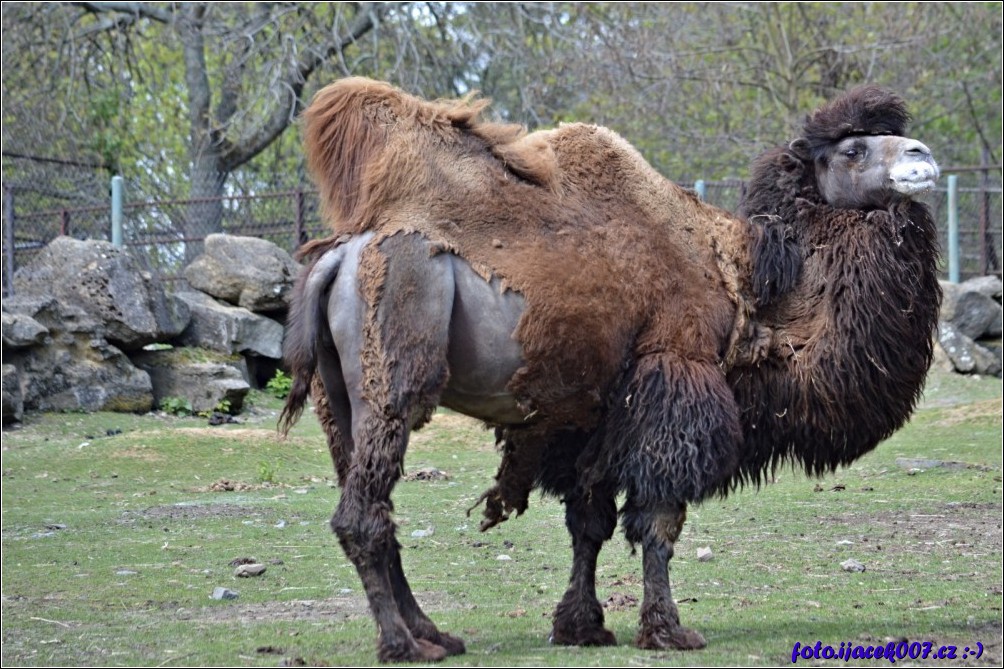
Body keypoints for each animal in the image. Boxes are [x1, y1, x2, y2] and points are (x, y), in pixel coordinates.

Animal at [281, 80, 939, 658]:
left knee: (374, 506)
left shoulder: (590, 413)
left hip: (338, 405)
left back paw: (435, 635)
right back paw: (402, 644)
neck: (752, 284)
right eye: (852, 150)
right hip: (392, 379)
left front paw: (582, 626)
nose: (923, 157)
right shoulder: (672, 377)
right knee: (362, 514)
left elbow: (588, 523)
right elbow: (657, 521)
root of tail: (337, 259)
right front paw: (669, 630)